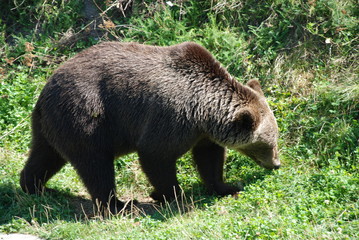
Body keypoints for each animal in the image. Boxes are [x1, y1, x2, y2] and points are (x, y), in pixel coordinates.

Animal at [19, 41, 282, 214]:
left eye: (275, 140)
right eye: (268, 143)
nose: (276, 163)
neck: (204, 110)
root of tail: (45, 91)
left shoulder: (202, 133)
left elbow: (210, 159)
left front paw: (226, 186)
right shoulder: (172, 116)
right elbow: (156, 155)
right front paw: (170, 194)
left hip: (50, 125)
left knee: (45, 156)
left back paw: (35, 186)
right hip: (86, 117)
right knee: (95, 165)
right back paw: (119, 204)